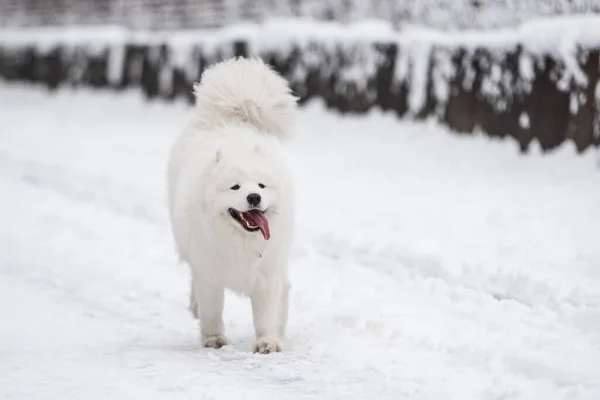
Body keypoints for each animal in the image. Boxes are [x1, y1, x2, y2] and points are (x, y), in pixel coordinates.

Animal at [166, 57, 298, 354]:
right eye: (235, 187)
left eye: (261, 186)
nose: (254, 198)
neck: (241, 242)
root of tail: (234, 116)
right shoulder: (209, 272)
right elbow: (213, 309)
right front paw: (214, 339)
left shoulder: (267, 274)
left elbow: (267, 313)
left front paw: (267, 343)